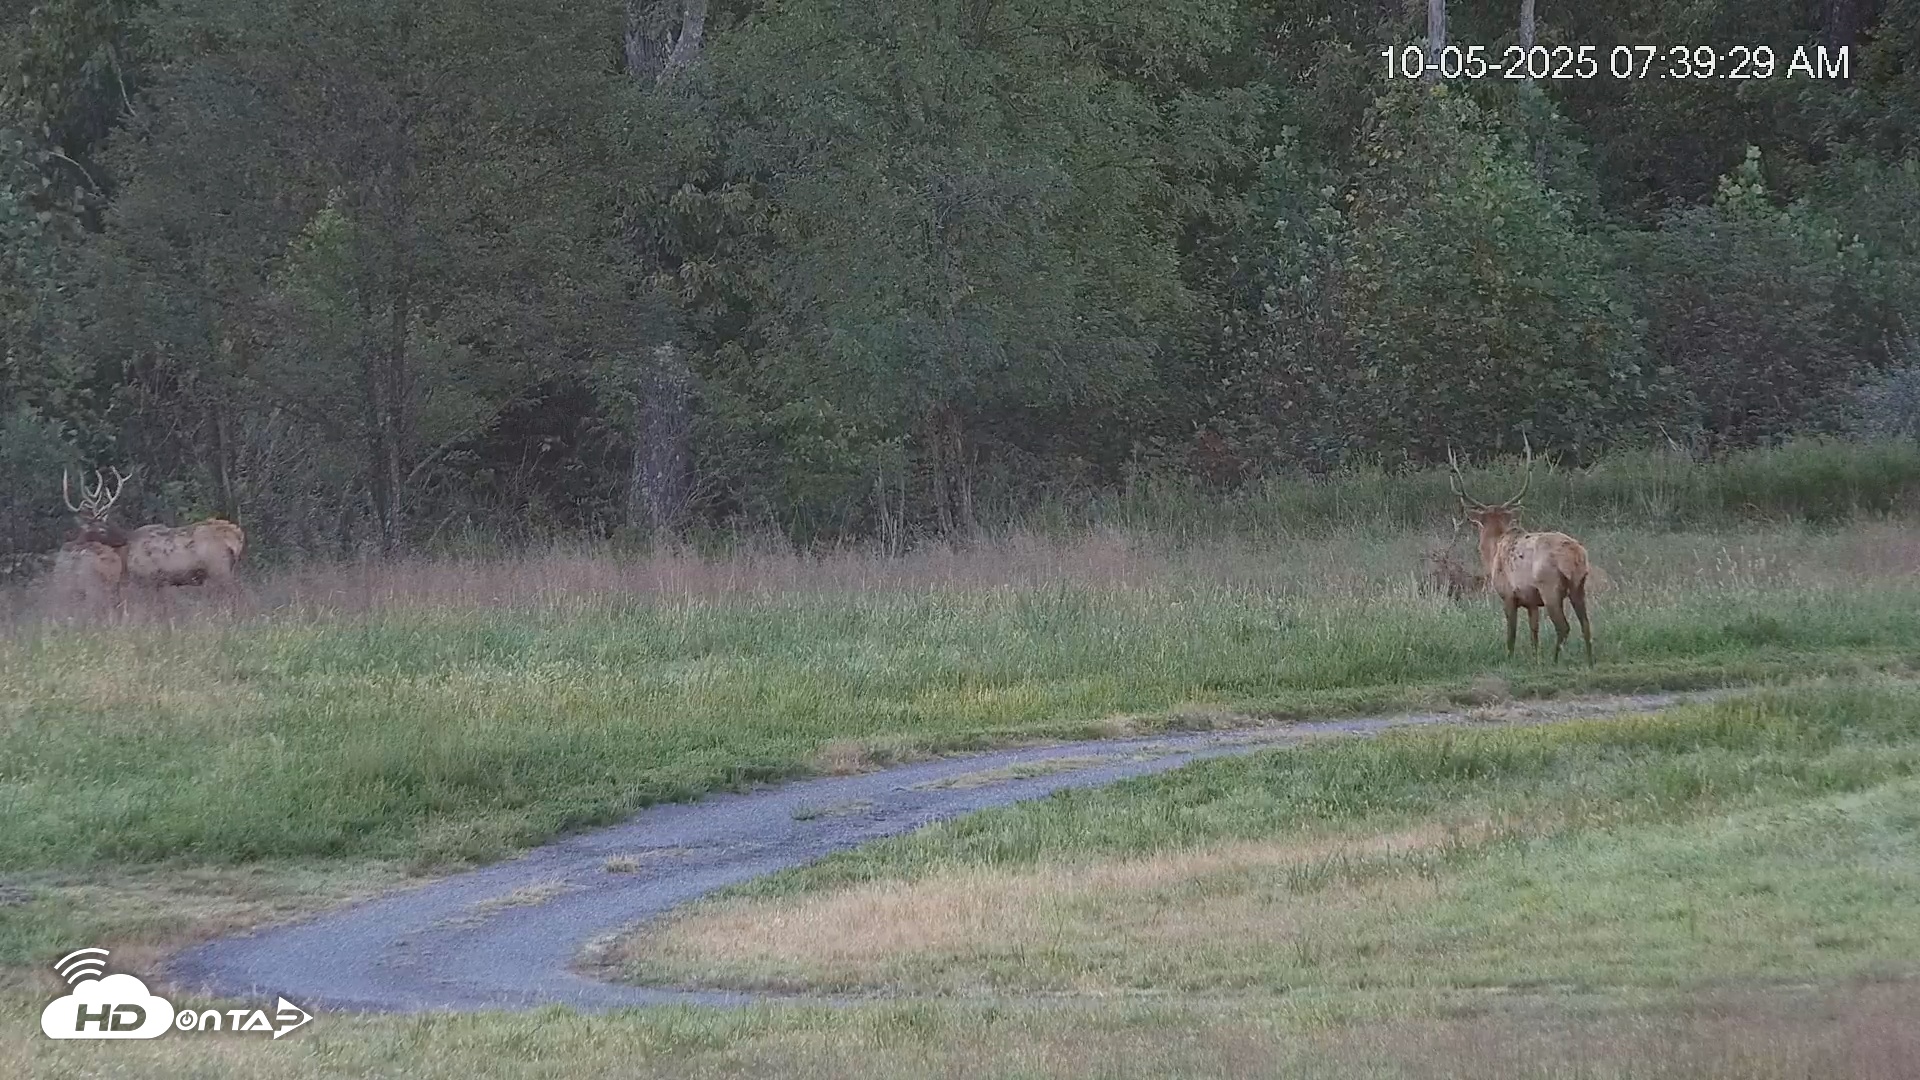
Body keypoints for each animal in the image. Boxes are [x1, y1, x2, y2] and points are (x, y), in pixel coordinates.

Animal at [1447, 437, 1593, 665]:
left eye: (1479, 525)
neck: (1493, 552)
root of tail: (1575, 555)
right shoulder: (1531, 601)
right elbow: (1534, 633)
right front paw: (1535, 659)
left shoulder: (1508, 594)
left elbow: (1511, 634)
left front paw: (1510, 659)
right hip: (1580, 584)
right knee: (1586, 625)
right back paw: (1589, 660)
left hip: (1550, 586)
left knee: (1564, 627)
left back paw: (1554, 660)